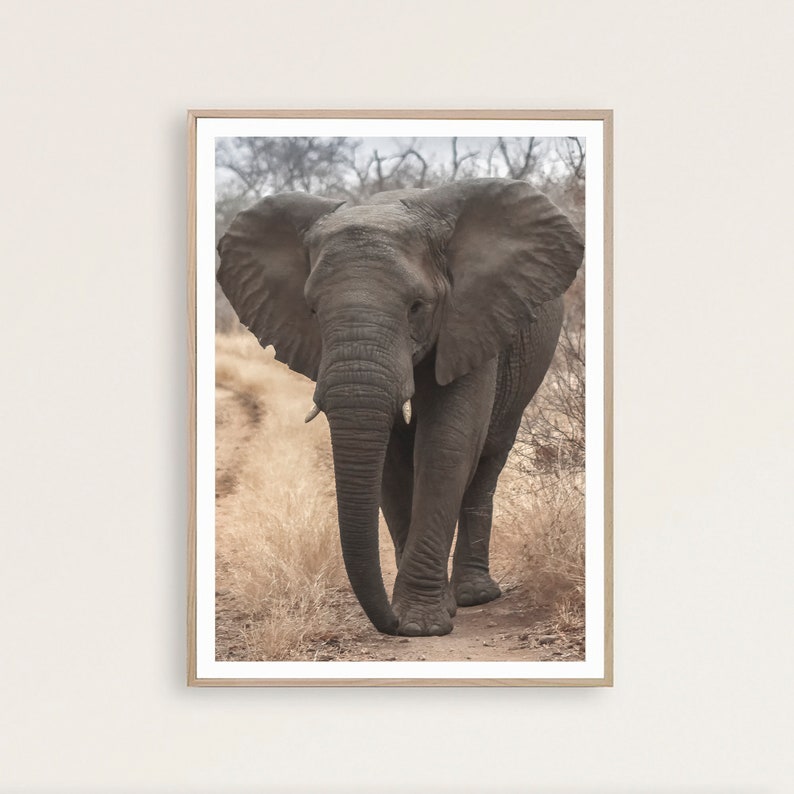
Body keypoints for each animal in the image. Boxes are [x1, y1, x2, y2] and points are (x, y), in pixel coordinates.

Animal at [216, 177, 584, 637]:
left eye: (416, 307)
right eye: (312, 310)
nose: (386, 624)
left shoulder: (471, 320)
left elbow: (447, 443)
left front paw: (420, 624)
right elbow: (390, 459)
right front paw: (423, 613)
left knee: (489, 457)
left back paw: (475, 595)